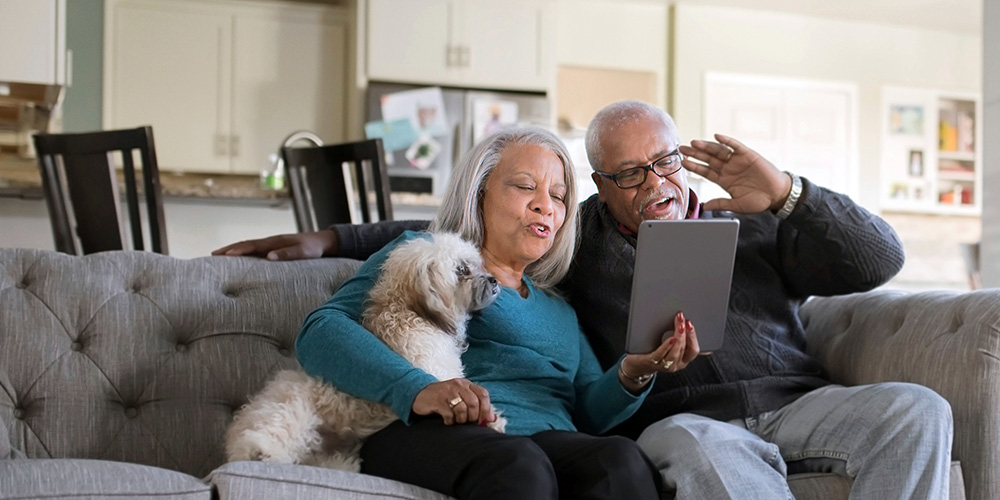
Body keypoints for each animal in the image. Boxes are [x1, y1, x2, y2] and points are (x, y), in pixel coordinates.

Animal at [224, 232, 504, 470]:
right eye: (461, 270)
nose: (494, 280)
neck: (410, 312)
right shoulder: (436, 373)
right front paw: (494, 420)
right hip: (290, 410)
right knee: (271, 432)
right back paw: (261, 452)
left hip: (329, 454)